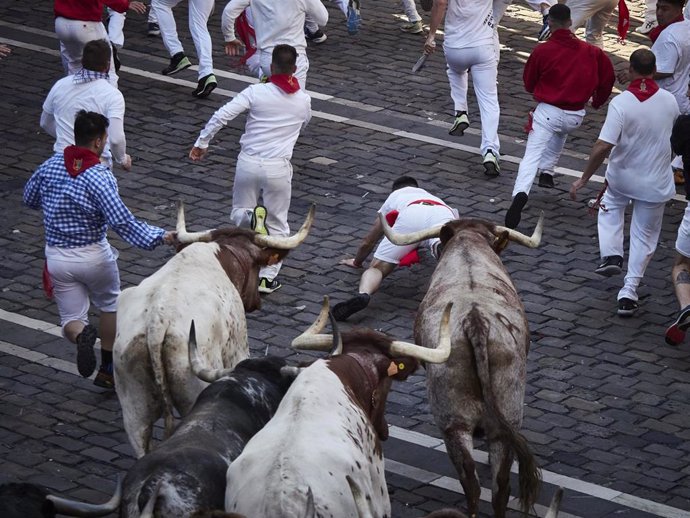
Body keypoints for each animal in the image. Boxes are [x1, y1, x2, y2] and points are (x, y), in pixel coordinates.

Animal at [113, 203, 314, 460]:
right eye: (257, 267)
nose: (257, 301)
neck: (220, 255)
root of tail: (156, 322)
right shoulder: (238, 350)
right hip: (195, 391)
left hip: (134, 407)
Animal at [382, 213, 544, 518]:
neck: (468, 245)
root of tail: (475, 321)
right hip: (507, 417)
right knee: (500, 486)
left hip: (452, 422)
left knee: (471, 482)